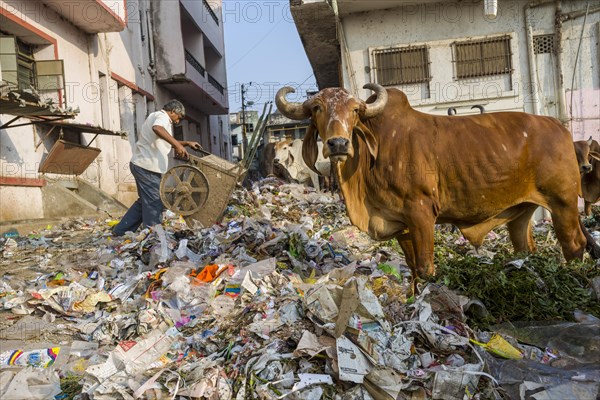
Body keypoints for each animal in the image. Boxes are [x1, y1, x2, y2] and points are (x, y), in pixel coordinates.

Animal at [276, 84, 596, 282]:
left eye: (355, 110)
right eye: (317, 108)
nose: (339, 143)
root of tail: (559, 128)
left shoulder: (421, 213)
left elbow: (425, 267)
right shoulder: (401, 224)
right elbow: (413, 270)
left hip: (563, 203)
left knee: (574, 244)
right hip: (521, 212)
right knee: (525, 249)